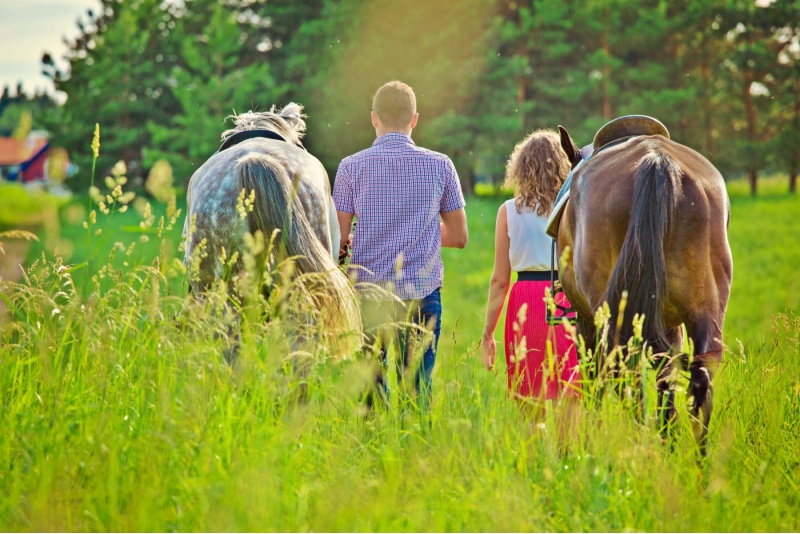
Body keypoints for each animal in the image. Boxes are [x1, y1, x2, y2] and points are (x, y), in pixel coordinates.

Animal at [552, 119, 736, 454]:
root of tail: (657, 162)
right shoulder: (669, 325)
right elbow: (666, 381)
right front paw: (668, 439)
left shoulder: (588, 320)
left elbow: (595, 378)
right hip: (705, 308)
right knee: (700, 380)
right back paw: (696, 462)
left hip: (615, 318)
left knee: (627, 377)